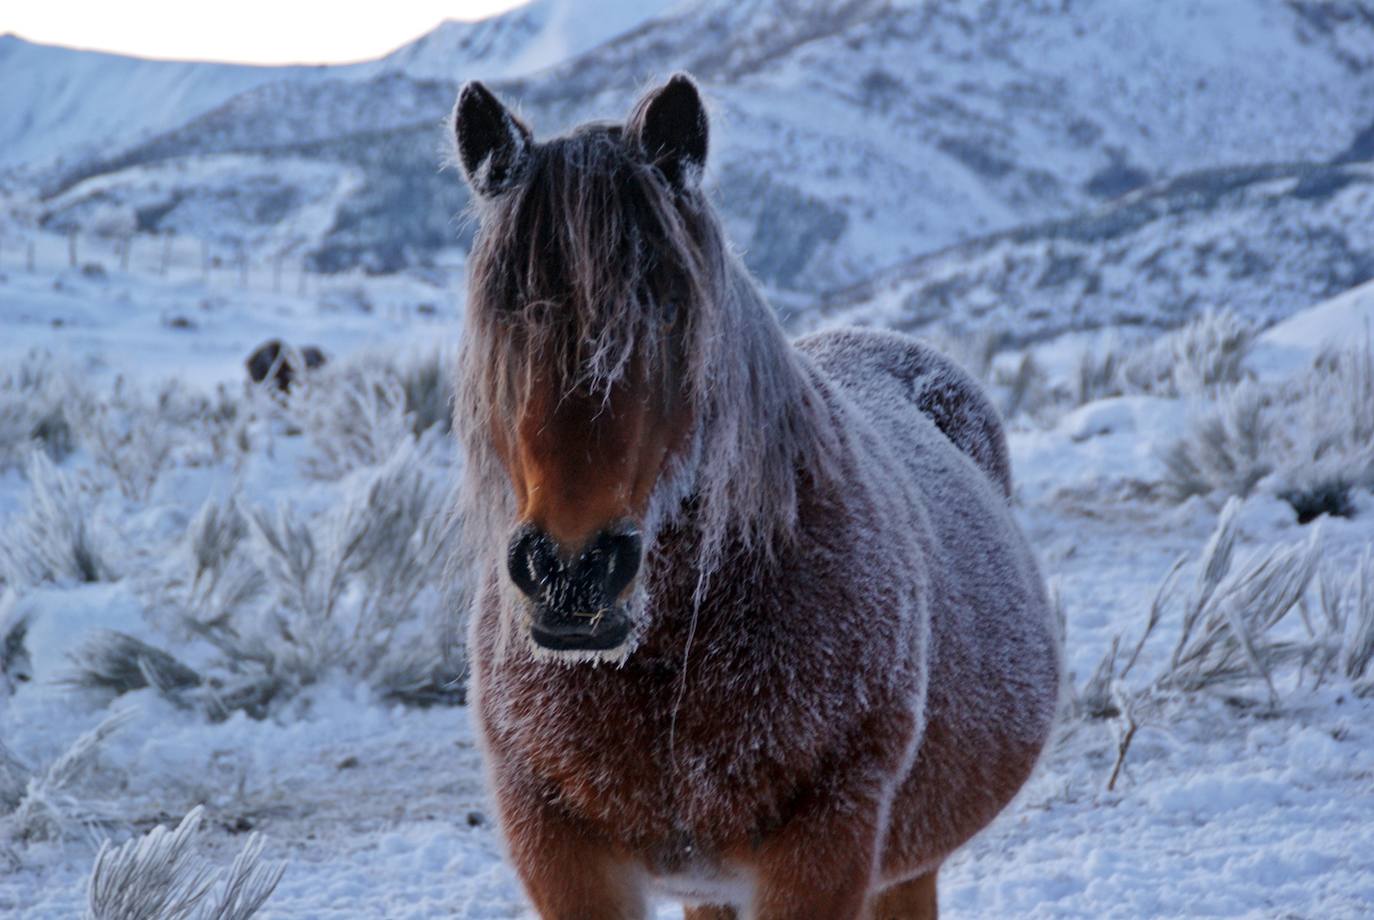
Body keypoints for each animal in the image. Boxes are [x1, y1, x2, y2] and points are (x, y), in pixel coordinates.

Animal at [450, 73, 1060, 920]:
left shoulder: (825, 847)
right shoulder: (560, 853)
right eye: (502, 310)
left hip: (904, 866)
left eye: (669, 307)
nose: (571, 571)